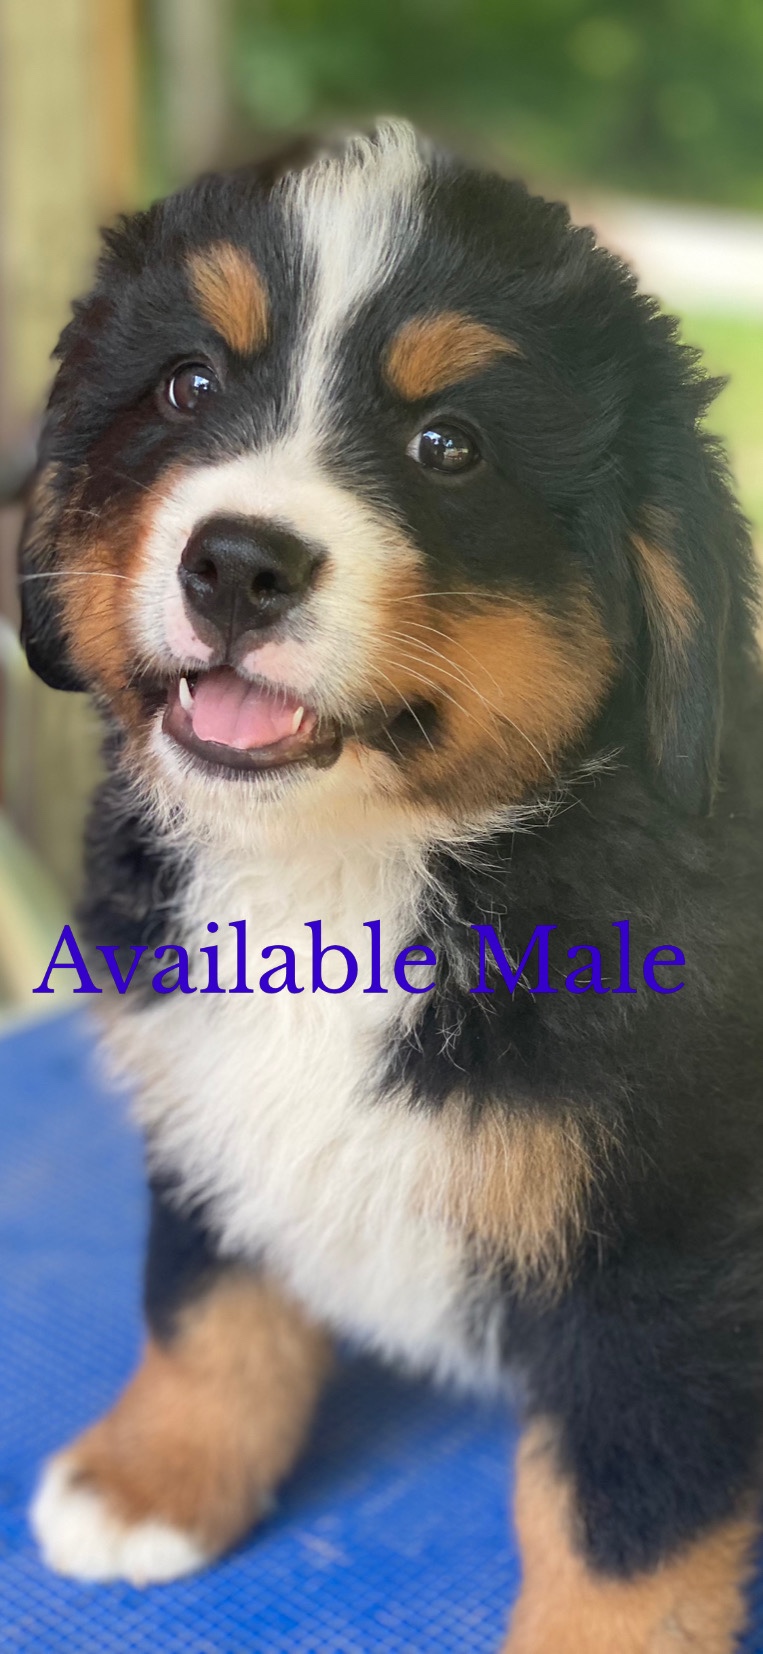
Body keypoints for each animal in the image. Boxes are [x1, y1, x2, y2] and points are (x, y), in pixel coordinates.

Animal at [18, 121, 763, 1650]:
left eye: (448, 444)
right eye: (186, 382)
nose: (237, 562)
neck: (343, 865)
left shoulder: (667, 1232)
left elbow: (620, 1505)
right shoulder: (205, 1092)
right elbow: (205, 1300)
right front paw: (154, 1473)